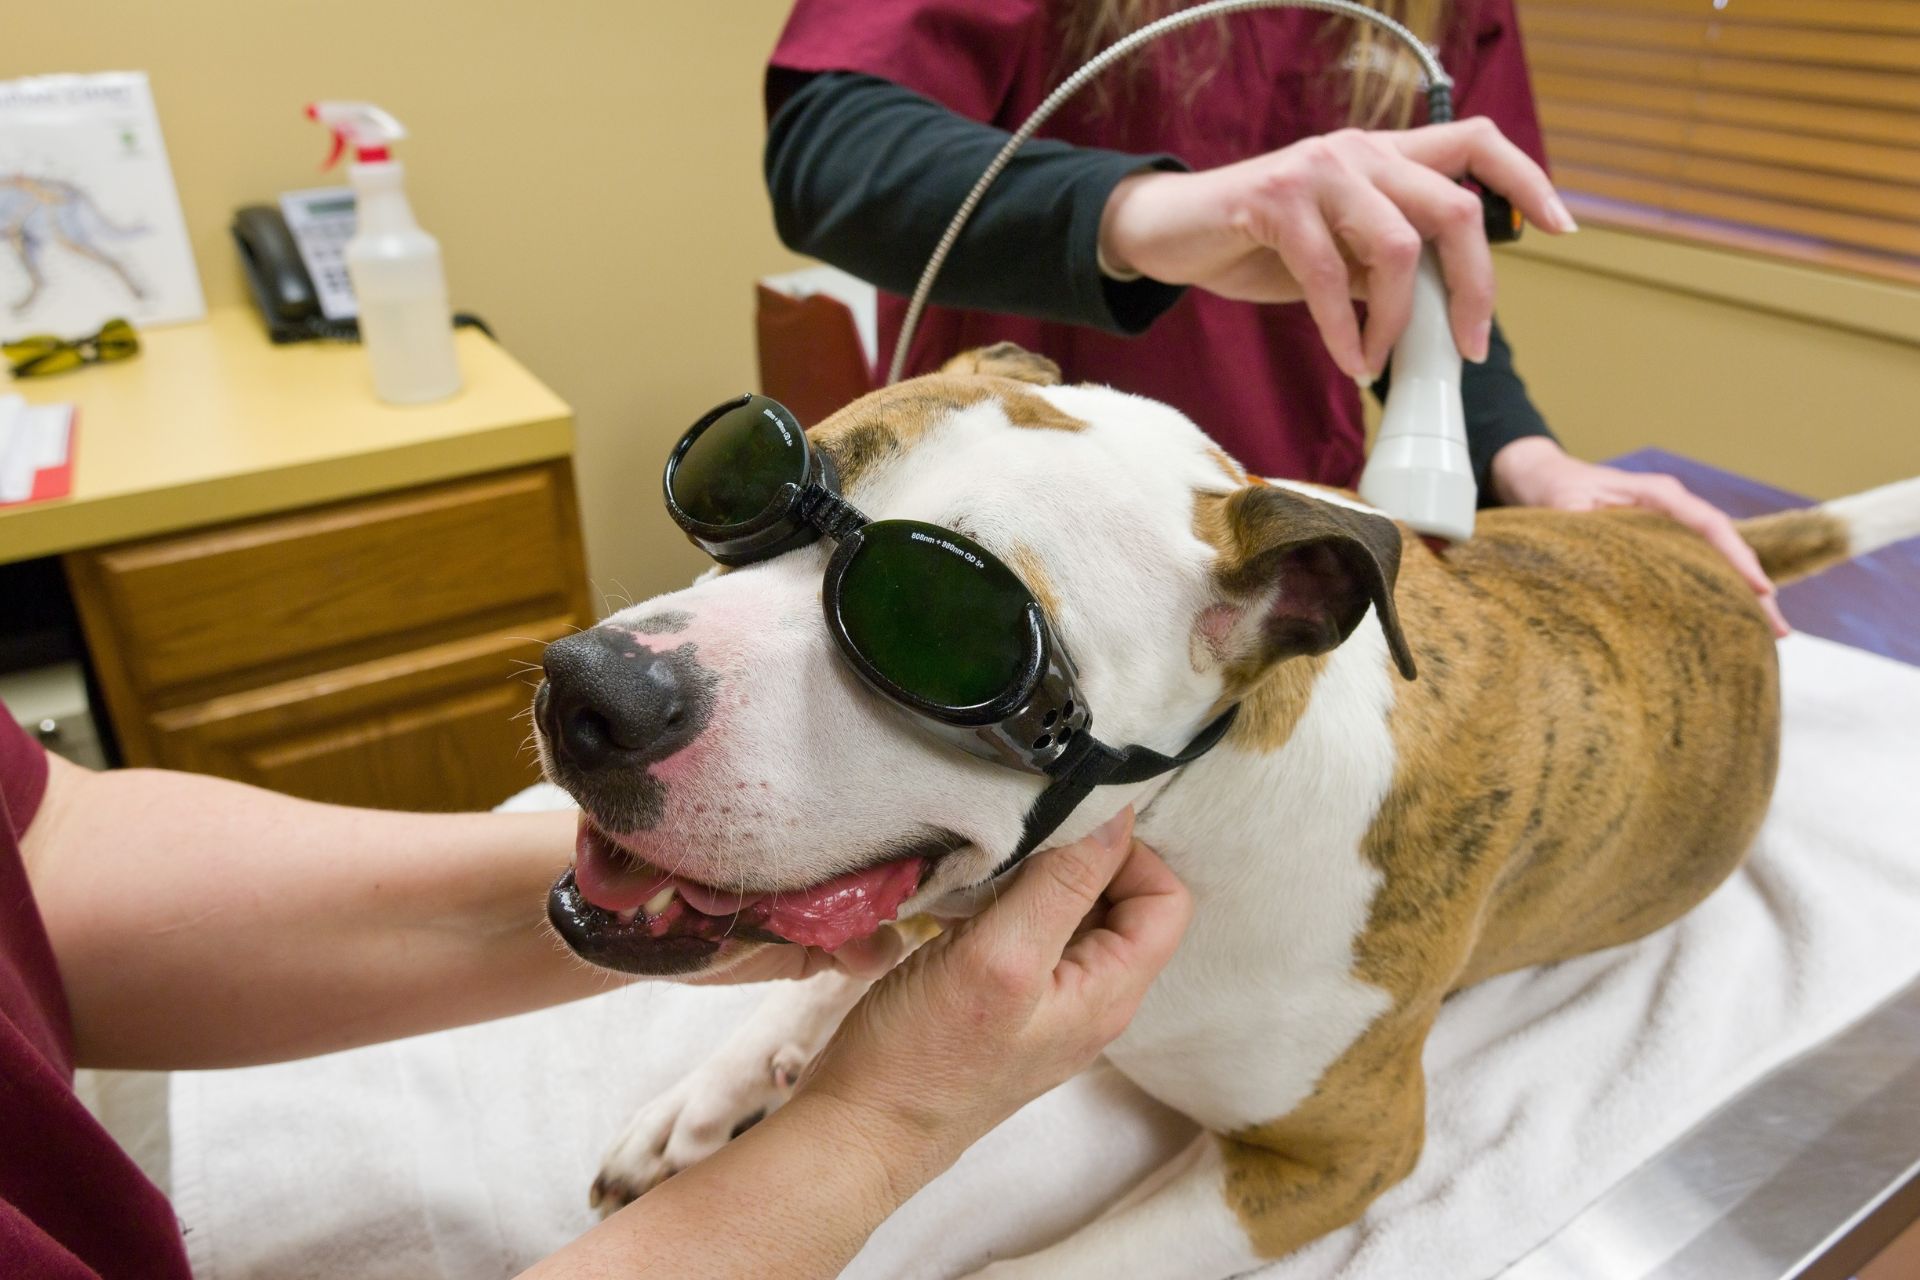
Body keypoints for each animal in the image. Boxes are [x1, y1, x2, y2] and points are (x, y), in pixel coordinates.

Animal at [529, 345, 1920, 1274]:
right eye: (743, 483)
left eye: (936, 624)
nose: (591, 689)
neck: (1199, 813)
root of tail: (1705, 554)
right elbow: (834, 977)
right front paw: (711, 1091)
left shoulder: (1335, 1159)